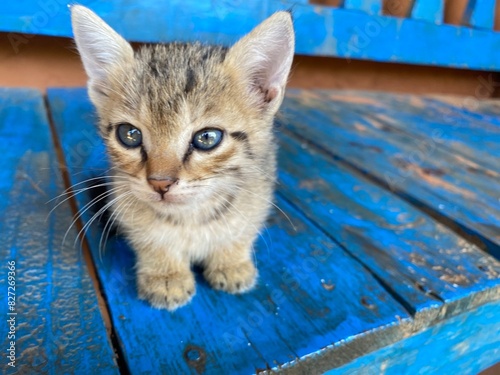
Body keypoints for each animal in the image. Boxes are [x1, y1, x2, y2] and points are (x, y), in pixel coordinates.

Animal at [72, 5, 294, 312]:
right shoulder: (123, 196)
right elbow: (150, 237)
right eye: (129, 134)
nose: (160, 183)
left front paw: (231, 261)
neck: (191, 216)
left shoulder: (258, 192)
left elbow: (241, 229)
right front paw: (165, 274)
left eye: (207, 138)